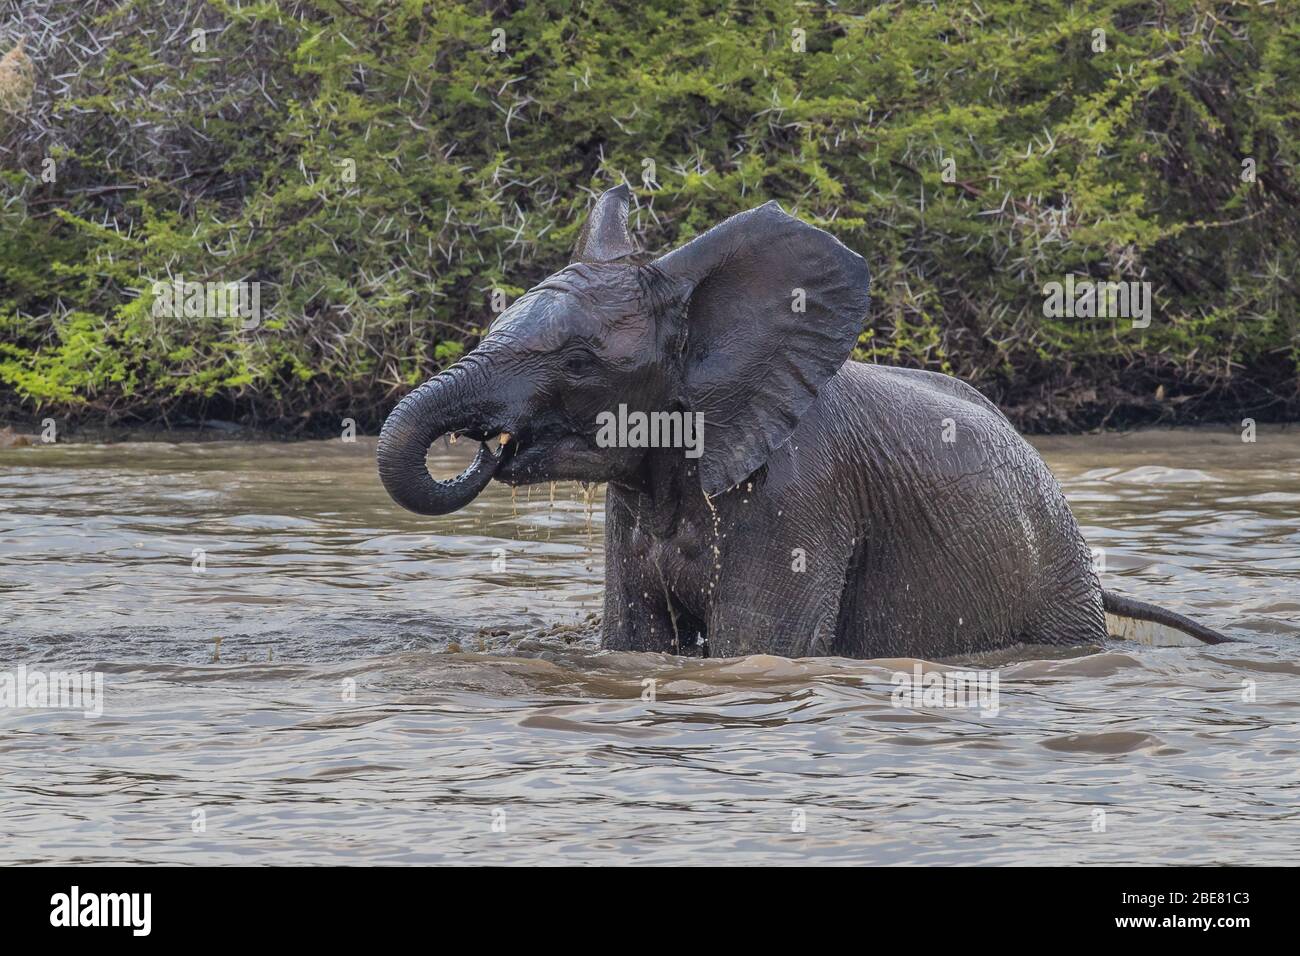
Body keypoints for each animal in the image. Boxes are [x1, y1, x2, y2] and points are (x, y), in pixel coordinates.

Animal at [377, 185, 1227, 658]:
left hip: (1055, 590)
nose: (486, 445)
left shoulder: (801, 498)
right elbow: (636, 641)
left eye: (582, 363)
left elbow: (756, 647)